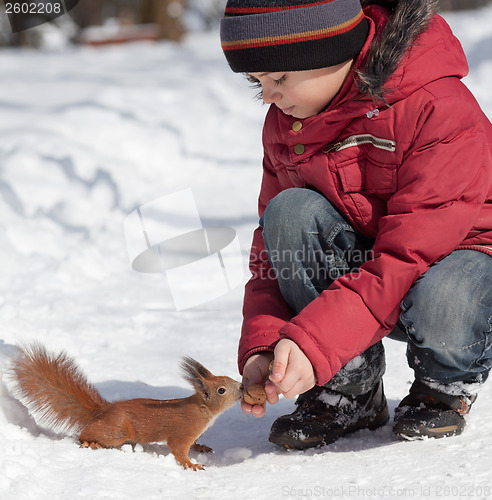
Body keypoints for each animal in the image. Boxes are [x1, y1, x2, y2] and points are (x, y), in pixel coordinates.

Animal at [10, 342, 243, 470]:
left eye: (228, 377)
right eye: (221, 390)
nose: (242, 388)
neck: (205, 409)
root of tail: (103, 411)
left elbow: (193, 443)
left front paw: (200, 447)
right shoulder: (185, 429)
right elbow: (178, 448)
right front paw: (191, 464)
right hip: (116, 431)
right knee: (86, 433)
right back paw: (89, 442)